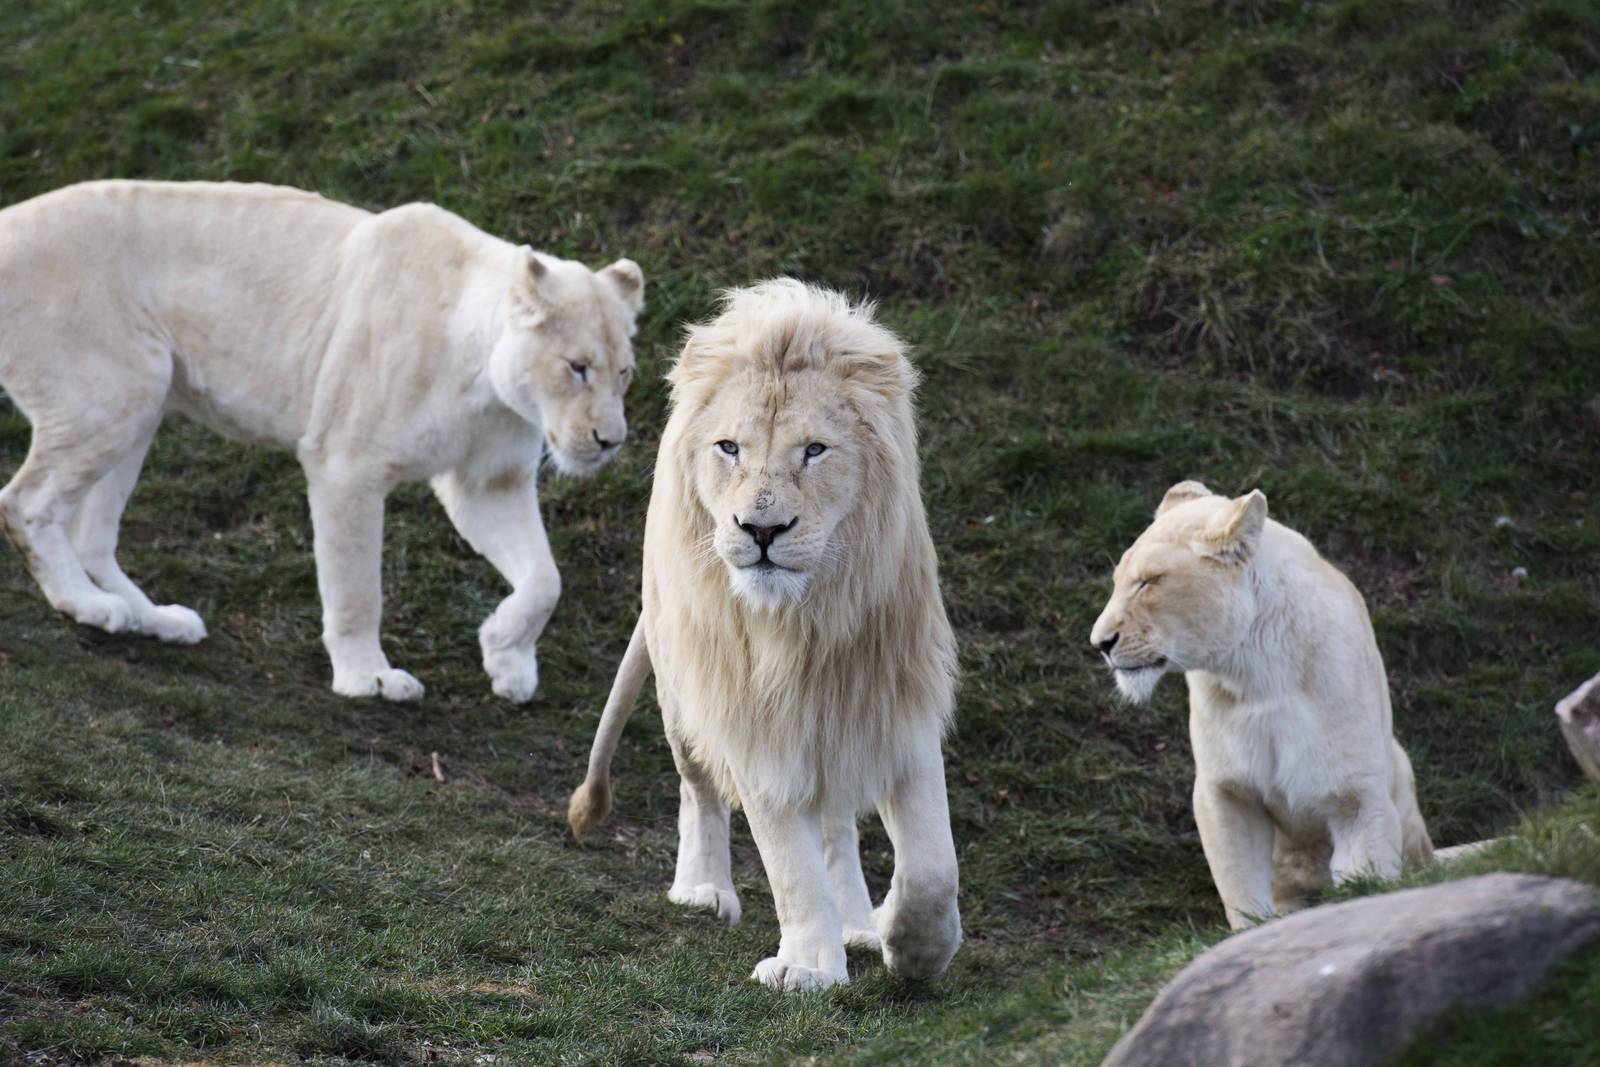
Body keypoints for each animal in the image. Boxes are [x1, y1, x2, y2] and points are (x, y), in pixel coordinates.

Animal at [0, 180, 643, 702]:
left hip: (141, 401)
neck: (488, 387)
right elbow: (357, 585)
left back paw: (155, 619)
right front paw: (369, 677)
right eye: (577, 367)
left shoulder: (489, 484)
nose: (610, 441)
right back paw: (84, 603)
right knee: (26, 502)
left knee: (91, 536)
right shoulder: (345, 465)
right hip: (114, 389)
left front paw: (507, 660)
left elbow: (545, 580)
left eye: (624, 373)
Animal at [567, 280, 962, 991]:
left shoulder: (894, 703)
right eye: (730, 448)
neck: (801, 620)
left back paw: (858, 923)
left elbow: (931, 866)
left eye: (815, 450)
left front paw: (909, 943)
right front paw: (809, 965)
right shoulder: (749, 716)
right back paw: (702, 891)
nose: (761, 530)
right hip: (680, 688)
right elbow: (788, 862)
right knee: (698, 791)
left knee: (836, 825)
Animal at [1089, 481, 1434, 929]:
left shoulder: (1358, 796)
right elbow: (1241, 885)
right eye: (1119, 582)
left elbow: (1366, 882)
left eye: (1148, 581)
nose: (1099, 643)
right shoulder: (1225, 791)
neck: (1257, 676)